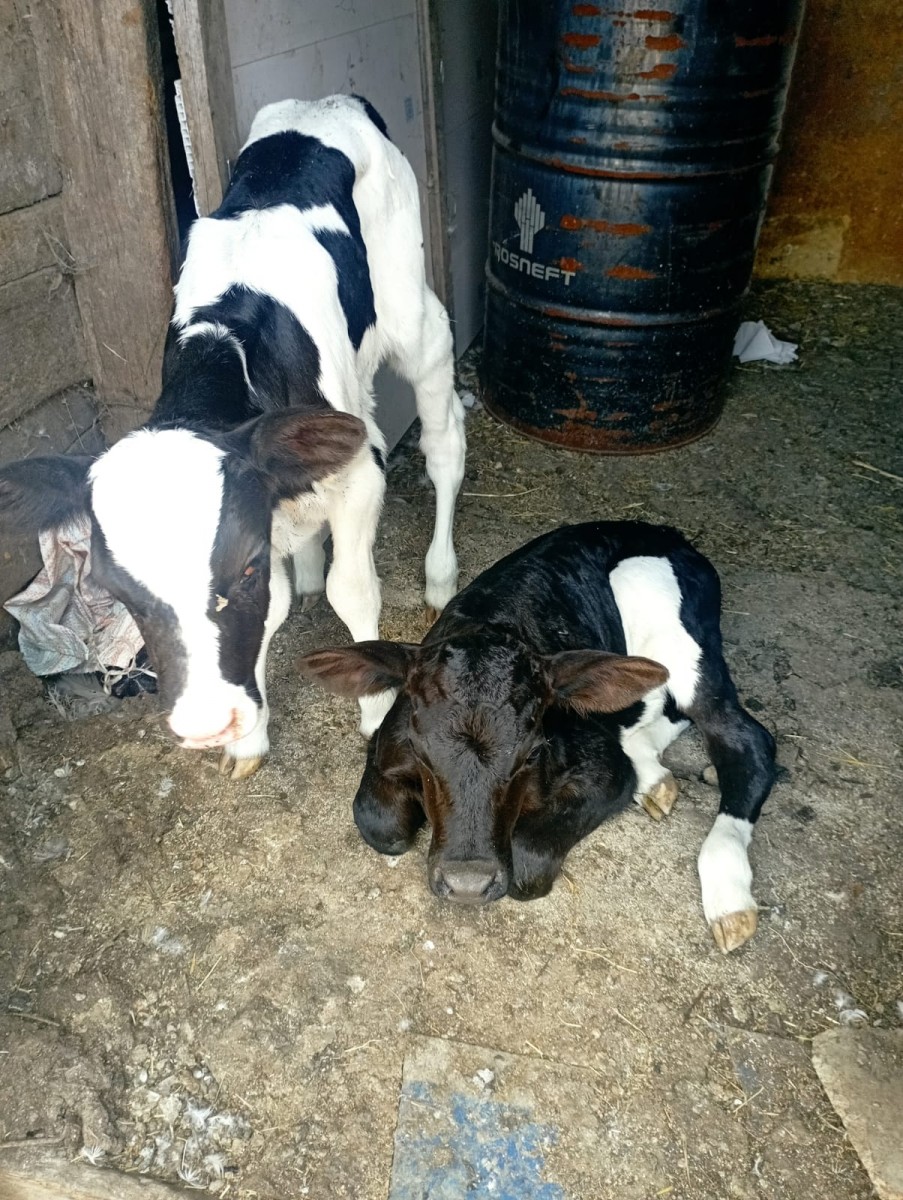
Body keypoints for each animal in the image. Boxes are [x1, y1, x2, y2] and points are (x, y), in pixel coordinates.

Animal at [0, 95, 466, 778]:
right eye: (116, 591)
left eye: (241, 568)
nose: (205, 724)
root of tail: (328, 104)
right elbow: (274, 608)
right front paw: (249, 739)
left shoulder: (359, 474)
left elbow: (352, 590)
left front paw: (376, 709)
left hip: (415, 316)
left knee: (444, 444)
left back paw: (439, 575)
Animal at [297, 521, 776, 953]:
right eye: (422, 752)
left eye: (529, 755)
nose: (467, 885)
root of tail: (670, 534)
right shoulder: (387, 745)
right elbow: (381, 824)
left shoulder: (604, 769)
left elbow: (527, 860)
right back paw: (655, 778)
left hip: (671, 621)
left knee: (746, 738)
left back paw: (728, 890)